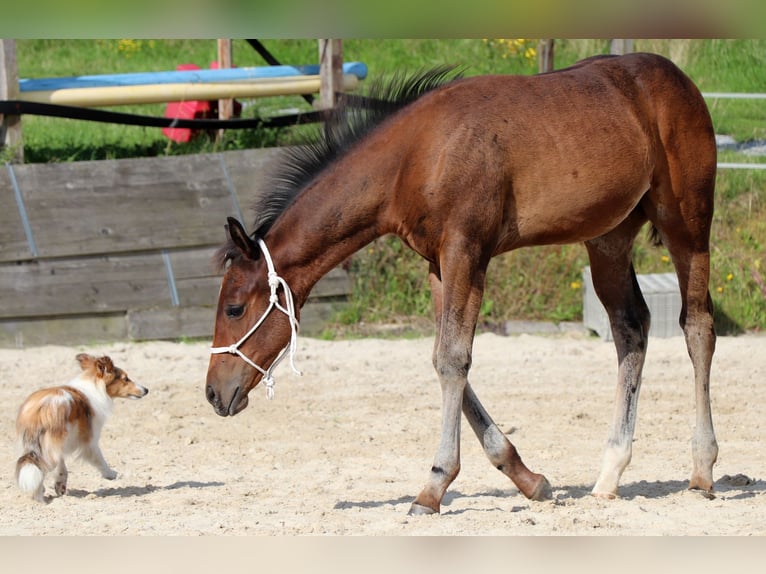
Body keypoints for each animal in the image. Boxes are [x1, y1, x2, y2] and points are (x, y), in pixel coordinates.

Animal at [205, 52, 718, 515]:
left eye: (234, 308)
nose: (213, 393)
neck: (414, 157)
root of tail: (679, 79)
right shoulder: (439, 264)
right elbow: (447, 360)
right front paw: (528, 479)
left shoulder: (465, 252)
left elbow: (452, 359)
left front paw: (432, 489)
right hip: (608, 239)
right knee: (631, 329)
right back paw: (610, 474)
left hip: (687, 225)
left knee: (697, 327)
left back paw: (702, 470)